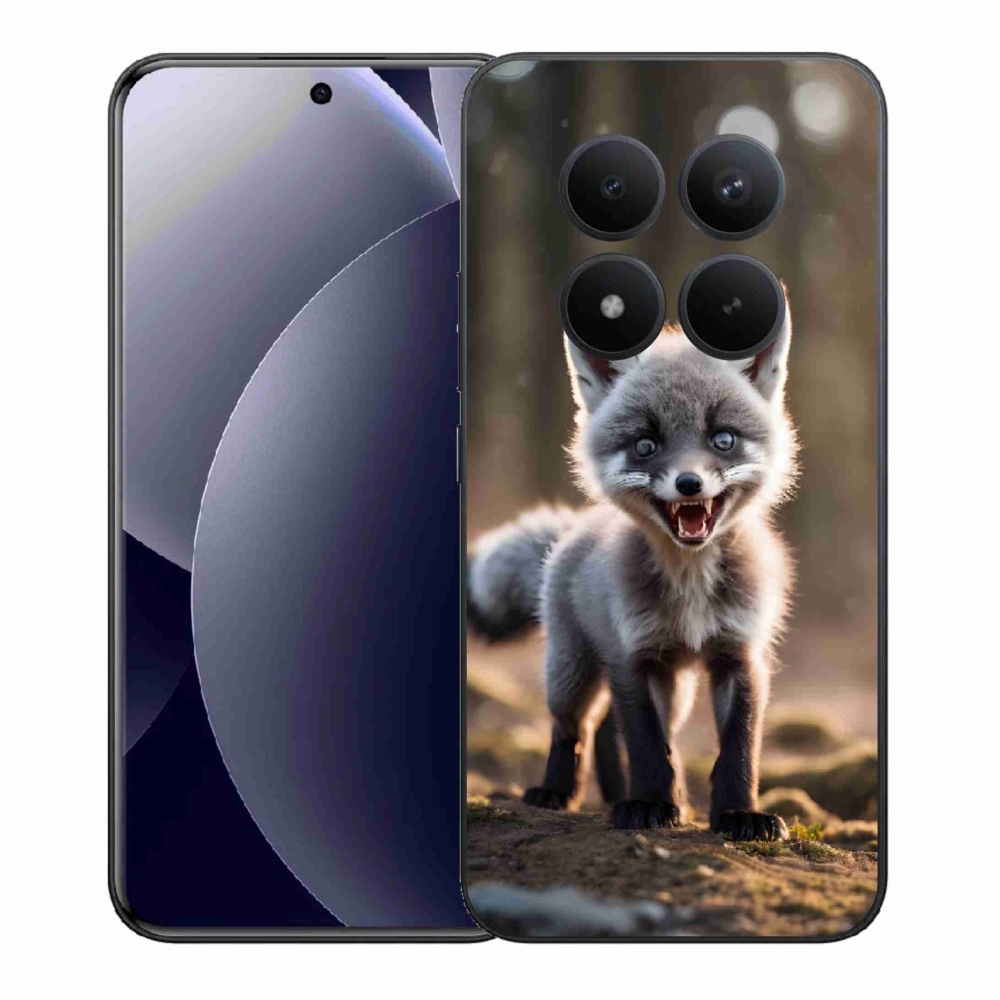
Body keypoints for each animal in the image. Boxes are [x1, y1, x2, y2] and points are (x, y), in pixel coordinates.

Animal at [467, 291, 798, 841]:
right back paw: (557, 791)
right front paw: (648, 805)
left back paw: (621, 793)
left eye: (723, 439)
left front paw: (738, 814)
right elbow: (646, 745)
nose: (689, 483)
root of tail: (573, 530)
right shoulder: (634, 657)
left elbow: (738, 749)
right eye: (646, 445)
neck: (690, 588)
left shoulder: (740, 655)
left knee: (608, 729)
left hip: (675, 685)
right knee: (573, 727)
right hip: (572, 671)